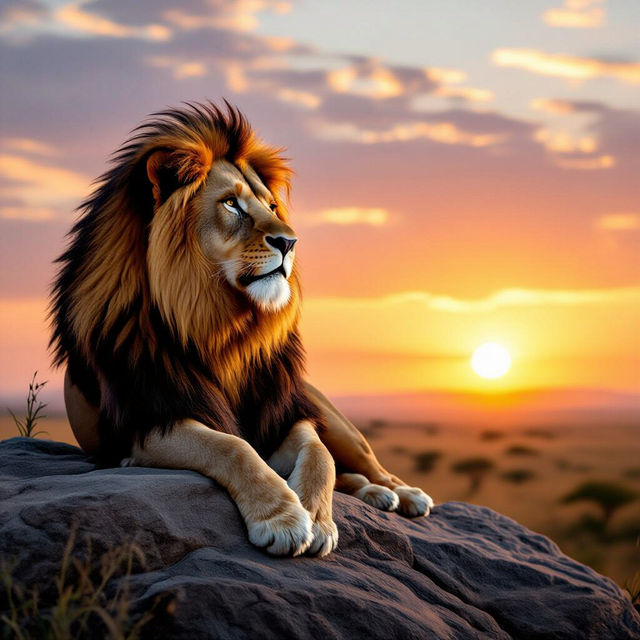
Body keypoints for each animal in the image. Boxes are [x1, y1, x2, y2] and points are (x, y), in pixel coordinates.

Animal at [50, 102, 433, 558]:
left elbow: (318, 455)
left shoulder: (284, 417)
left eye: (272, 206)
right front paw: (283, 518)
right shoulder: (151, 423)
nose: (290, 242)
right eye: (231, 204)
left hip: (334, 419)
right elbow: (232, 446)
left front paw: (317, 519)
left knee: (364, 463)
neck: (222, 329)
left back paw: (403, 494)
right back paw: (376, 495)